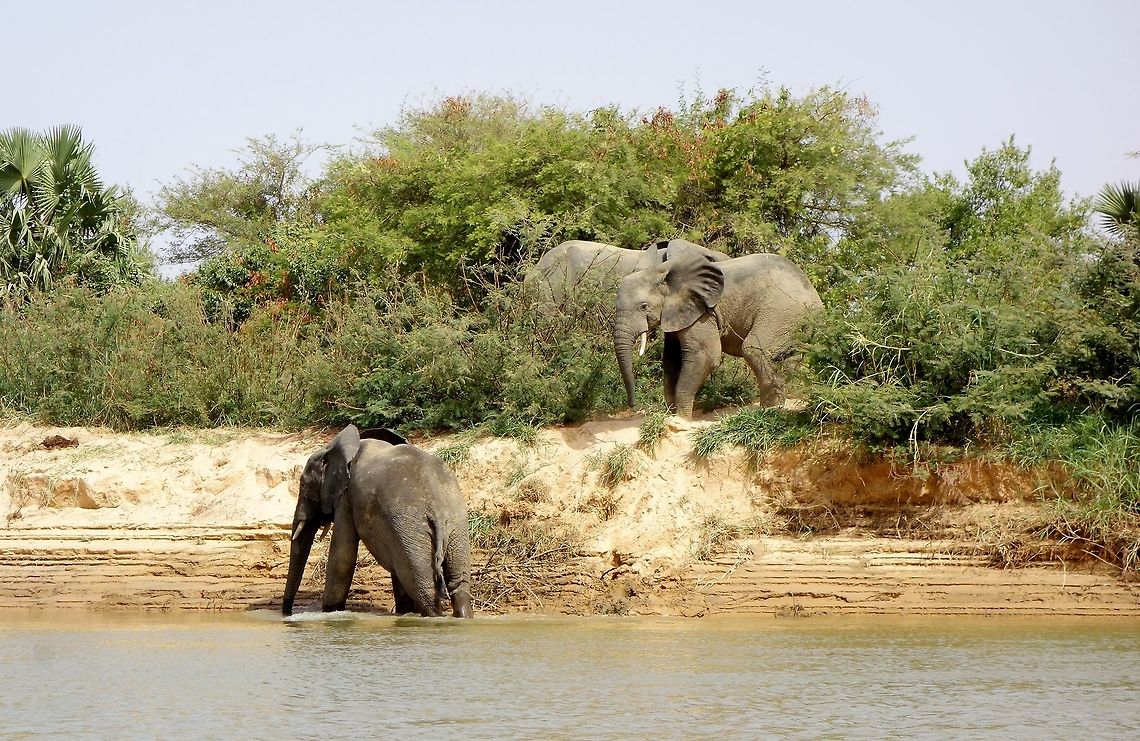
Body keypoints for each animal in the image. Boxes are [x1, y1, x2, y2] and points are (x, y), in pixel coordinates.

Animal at [281, 424, 472, 618]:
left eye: (303, 485)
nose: (287, 613)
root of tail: (438, 512)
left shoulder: (346, 497)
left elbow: (342, 558)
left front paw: (330, 612)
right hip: (454, 526)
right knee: (458, 584)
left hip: (410, 527)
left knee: (422, 587)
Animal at [613, 246, 823, 418]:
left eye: (644, 307)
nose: (633, 406)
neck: (663, 271)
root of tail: (815, 297)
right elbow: (672, 360)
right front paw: (671, 415)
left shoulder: (702, 312)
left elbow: (704, 355)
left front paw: (681, 418)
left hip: (782, 310)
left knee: (755, 349)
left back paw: (770, 410)